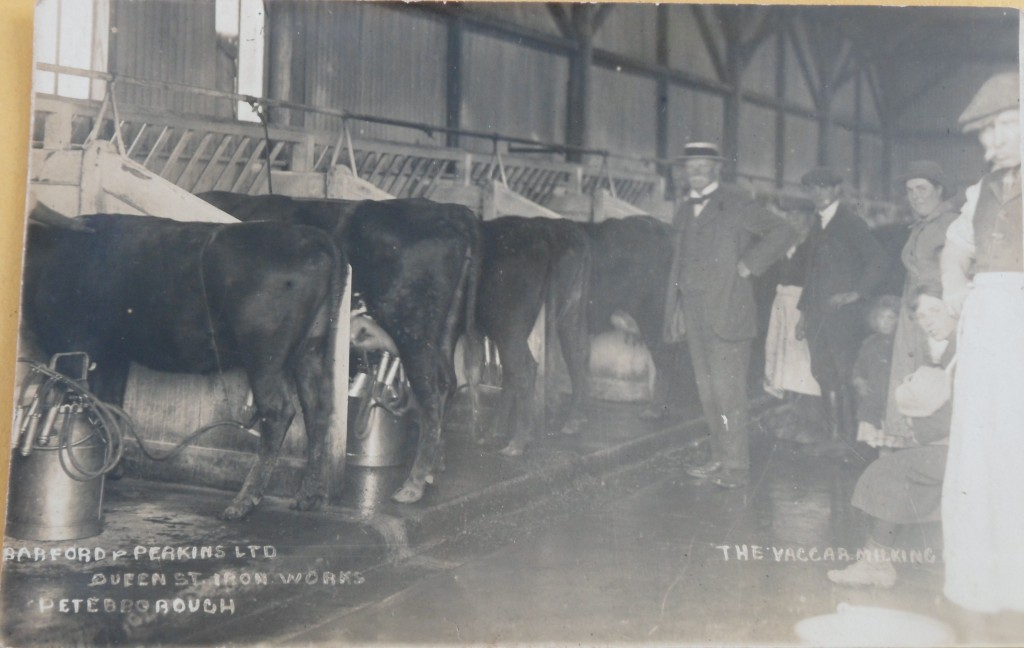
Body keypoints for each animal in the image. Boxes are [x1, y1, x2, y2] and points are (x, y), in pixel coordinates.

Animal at [22, 211, 344, 520]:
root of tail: (309, 235)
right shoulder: (115, 354)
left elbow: (88, 400)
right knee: (317, 409)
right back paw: (309, 497)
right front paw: (113, 467)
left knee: (278, 412)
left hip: (264, 355)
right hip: (310, 349)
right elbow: (110, 403)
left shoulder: (74, 345)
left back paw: (242, 503)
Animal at [201, 189, 485, 503]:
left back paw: (413, 484)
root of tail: (452, 212)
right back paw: (433, 468)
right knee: (447, 382)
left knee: (430, 394)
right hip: (445, 328)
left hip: (411, 327)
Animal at [471, 216, 593, 454]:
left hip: (507, 324)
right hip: (570, 309)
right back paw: (572, 421)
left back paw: (516, 442)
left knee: (522, 367)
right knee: (576, 354)